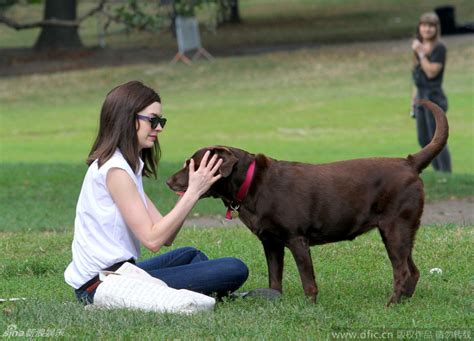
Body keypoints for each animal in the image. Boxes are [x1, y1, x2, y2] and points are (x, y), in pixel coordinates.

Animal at [167, 99, 448, 304]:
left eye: (191, 165)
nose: (168, 181)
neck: (250, 182)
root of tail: (409, 162)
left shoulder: (296, 238)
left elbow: (308, 280)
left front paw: (310, 306)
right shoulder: (271, 242)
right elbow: (274, 279)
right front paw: (274, 301)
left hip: (395, 228)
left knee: (402, 270)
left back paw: (391, 304)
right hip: (401, 231)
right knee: (413, 270)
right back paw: (403, 302)